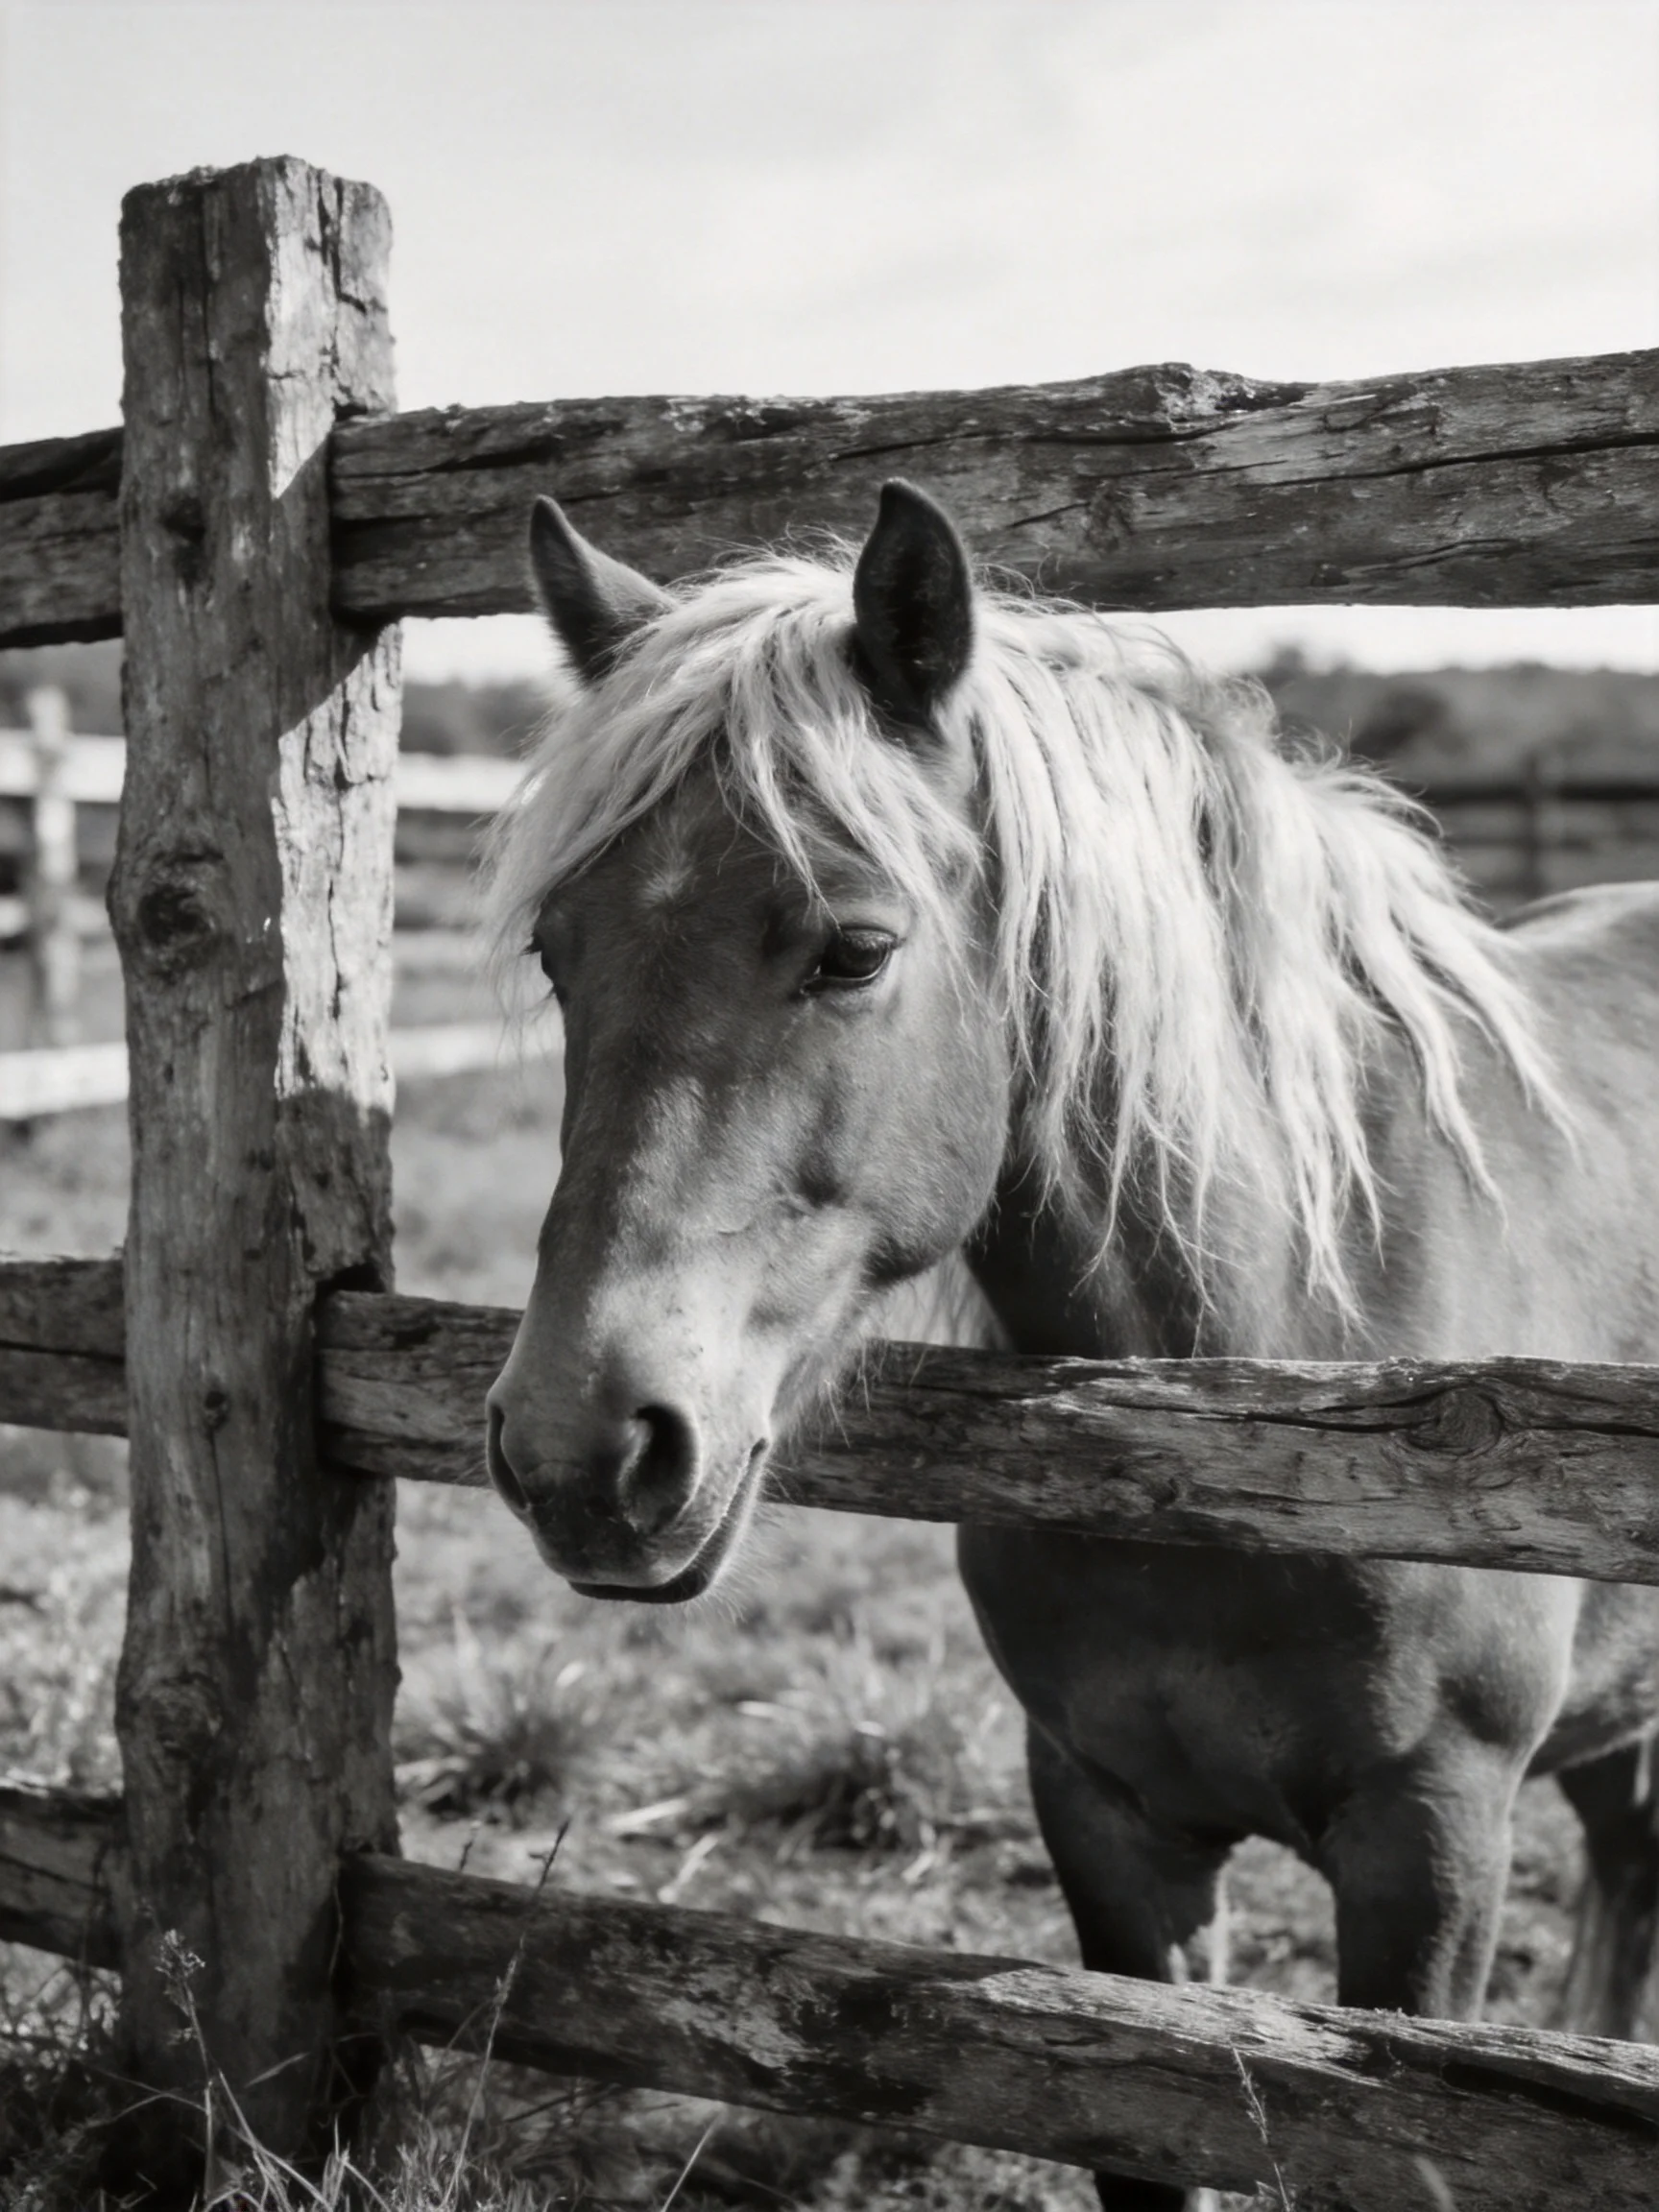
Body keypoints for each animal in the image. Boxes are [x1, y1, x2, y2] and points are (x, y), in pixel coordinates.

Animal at [482, 479, 1659, 2211]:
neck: (1259, 1400)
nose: (583, 1449)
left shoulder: (1431, 1843)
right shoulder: (1105, 1823)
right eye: (558, 953)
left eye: (851, 949)